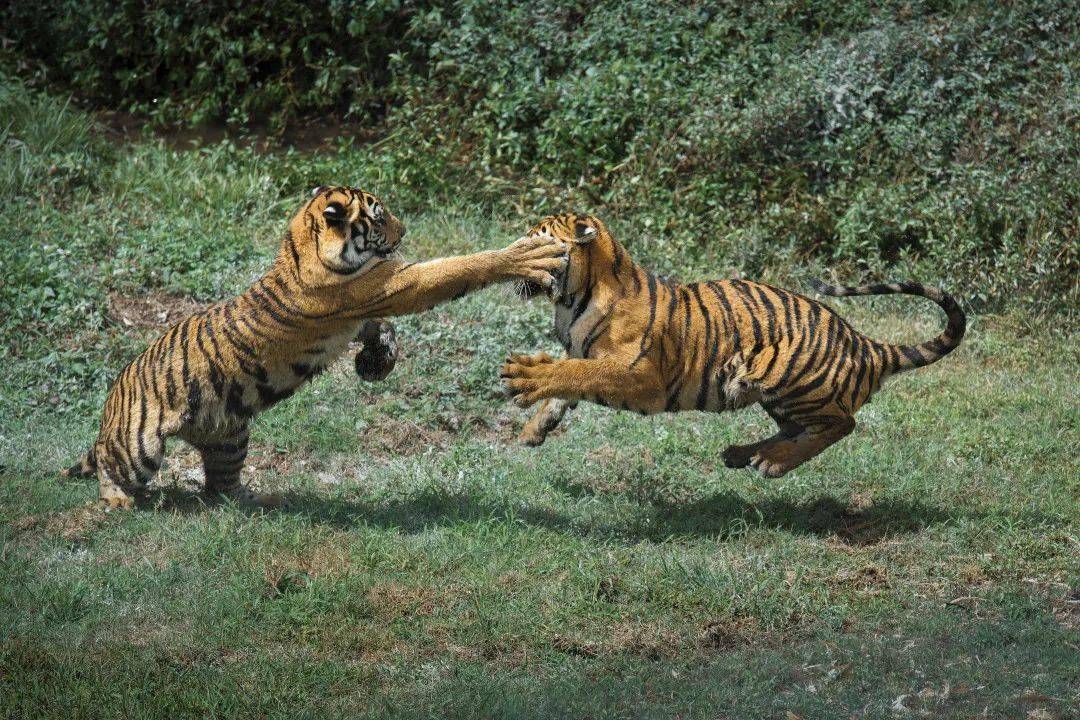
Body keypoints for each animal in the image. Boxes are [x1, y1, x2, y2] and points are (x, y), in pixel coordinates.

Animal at [501, 213, 967, 479]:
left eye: (534, 239)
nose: (510, 257)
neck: (571, 297)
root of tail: (864, 343)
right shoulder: (586, 353)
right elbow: (567, 386)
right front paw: (533, 430)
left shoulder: (638, 373)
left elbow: (573, 374)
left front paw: (526, 377)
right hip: (773, 391)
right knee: (801, 427)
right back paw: (744, 454)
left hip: (782, 373)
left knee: (841, 424)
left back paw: (772, 463)